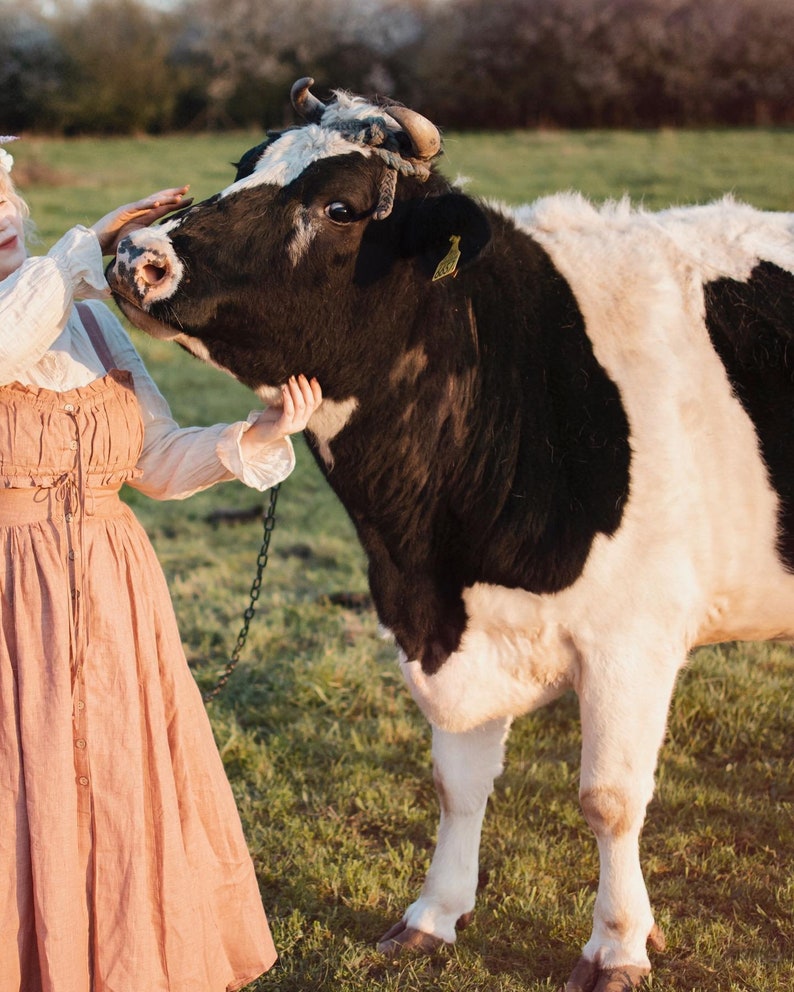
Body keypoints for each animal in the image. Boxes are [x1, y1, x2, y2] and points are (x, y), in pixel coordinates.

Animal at [106, 79, 792, 992]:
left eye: (341, 206)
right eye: (247, 163)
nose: (137, 254)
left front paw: (616, 945)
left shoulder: (633, 635)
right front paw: (433, 915)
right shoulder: (437, 623)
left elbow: (609, 799)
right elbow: (456, 784)